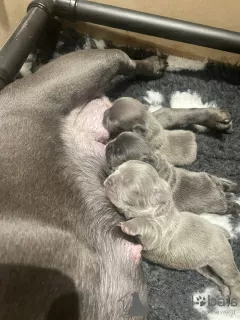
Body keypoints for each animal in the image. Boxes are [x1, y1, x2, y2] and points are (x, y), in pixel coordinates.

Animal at [104, 161, 240, 302]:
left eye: (128, 183)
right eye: (116, 170)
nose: (108, 180)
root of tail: (222, 232)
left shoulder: (157, 233)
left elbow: (144, 224)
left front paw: (129, 225)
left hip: (222, 260)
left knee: (233, 278)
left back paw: (235, 297)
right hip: (204, 266)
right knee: (215, 277)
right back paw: (224, 290)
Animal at [105, 131, 240, 216]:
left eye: (118, 152)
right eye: (115, 138)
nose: (108, 146)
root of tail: (217, 188)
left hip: (219, 206)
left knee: (228, 206)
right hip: (212, 177)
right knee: (227, 185)